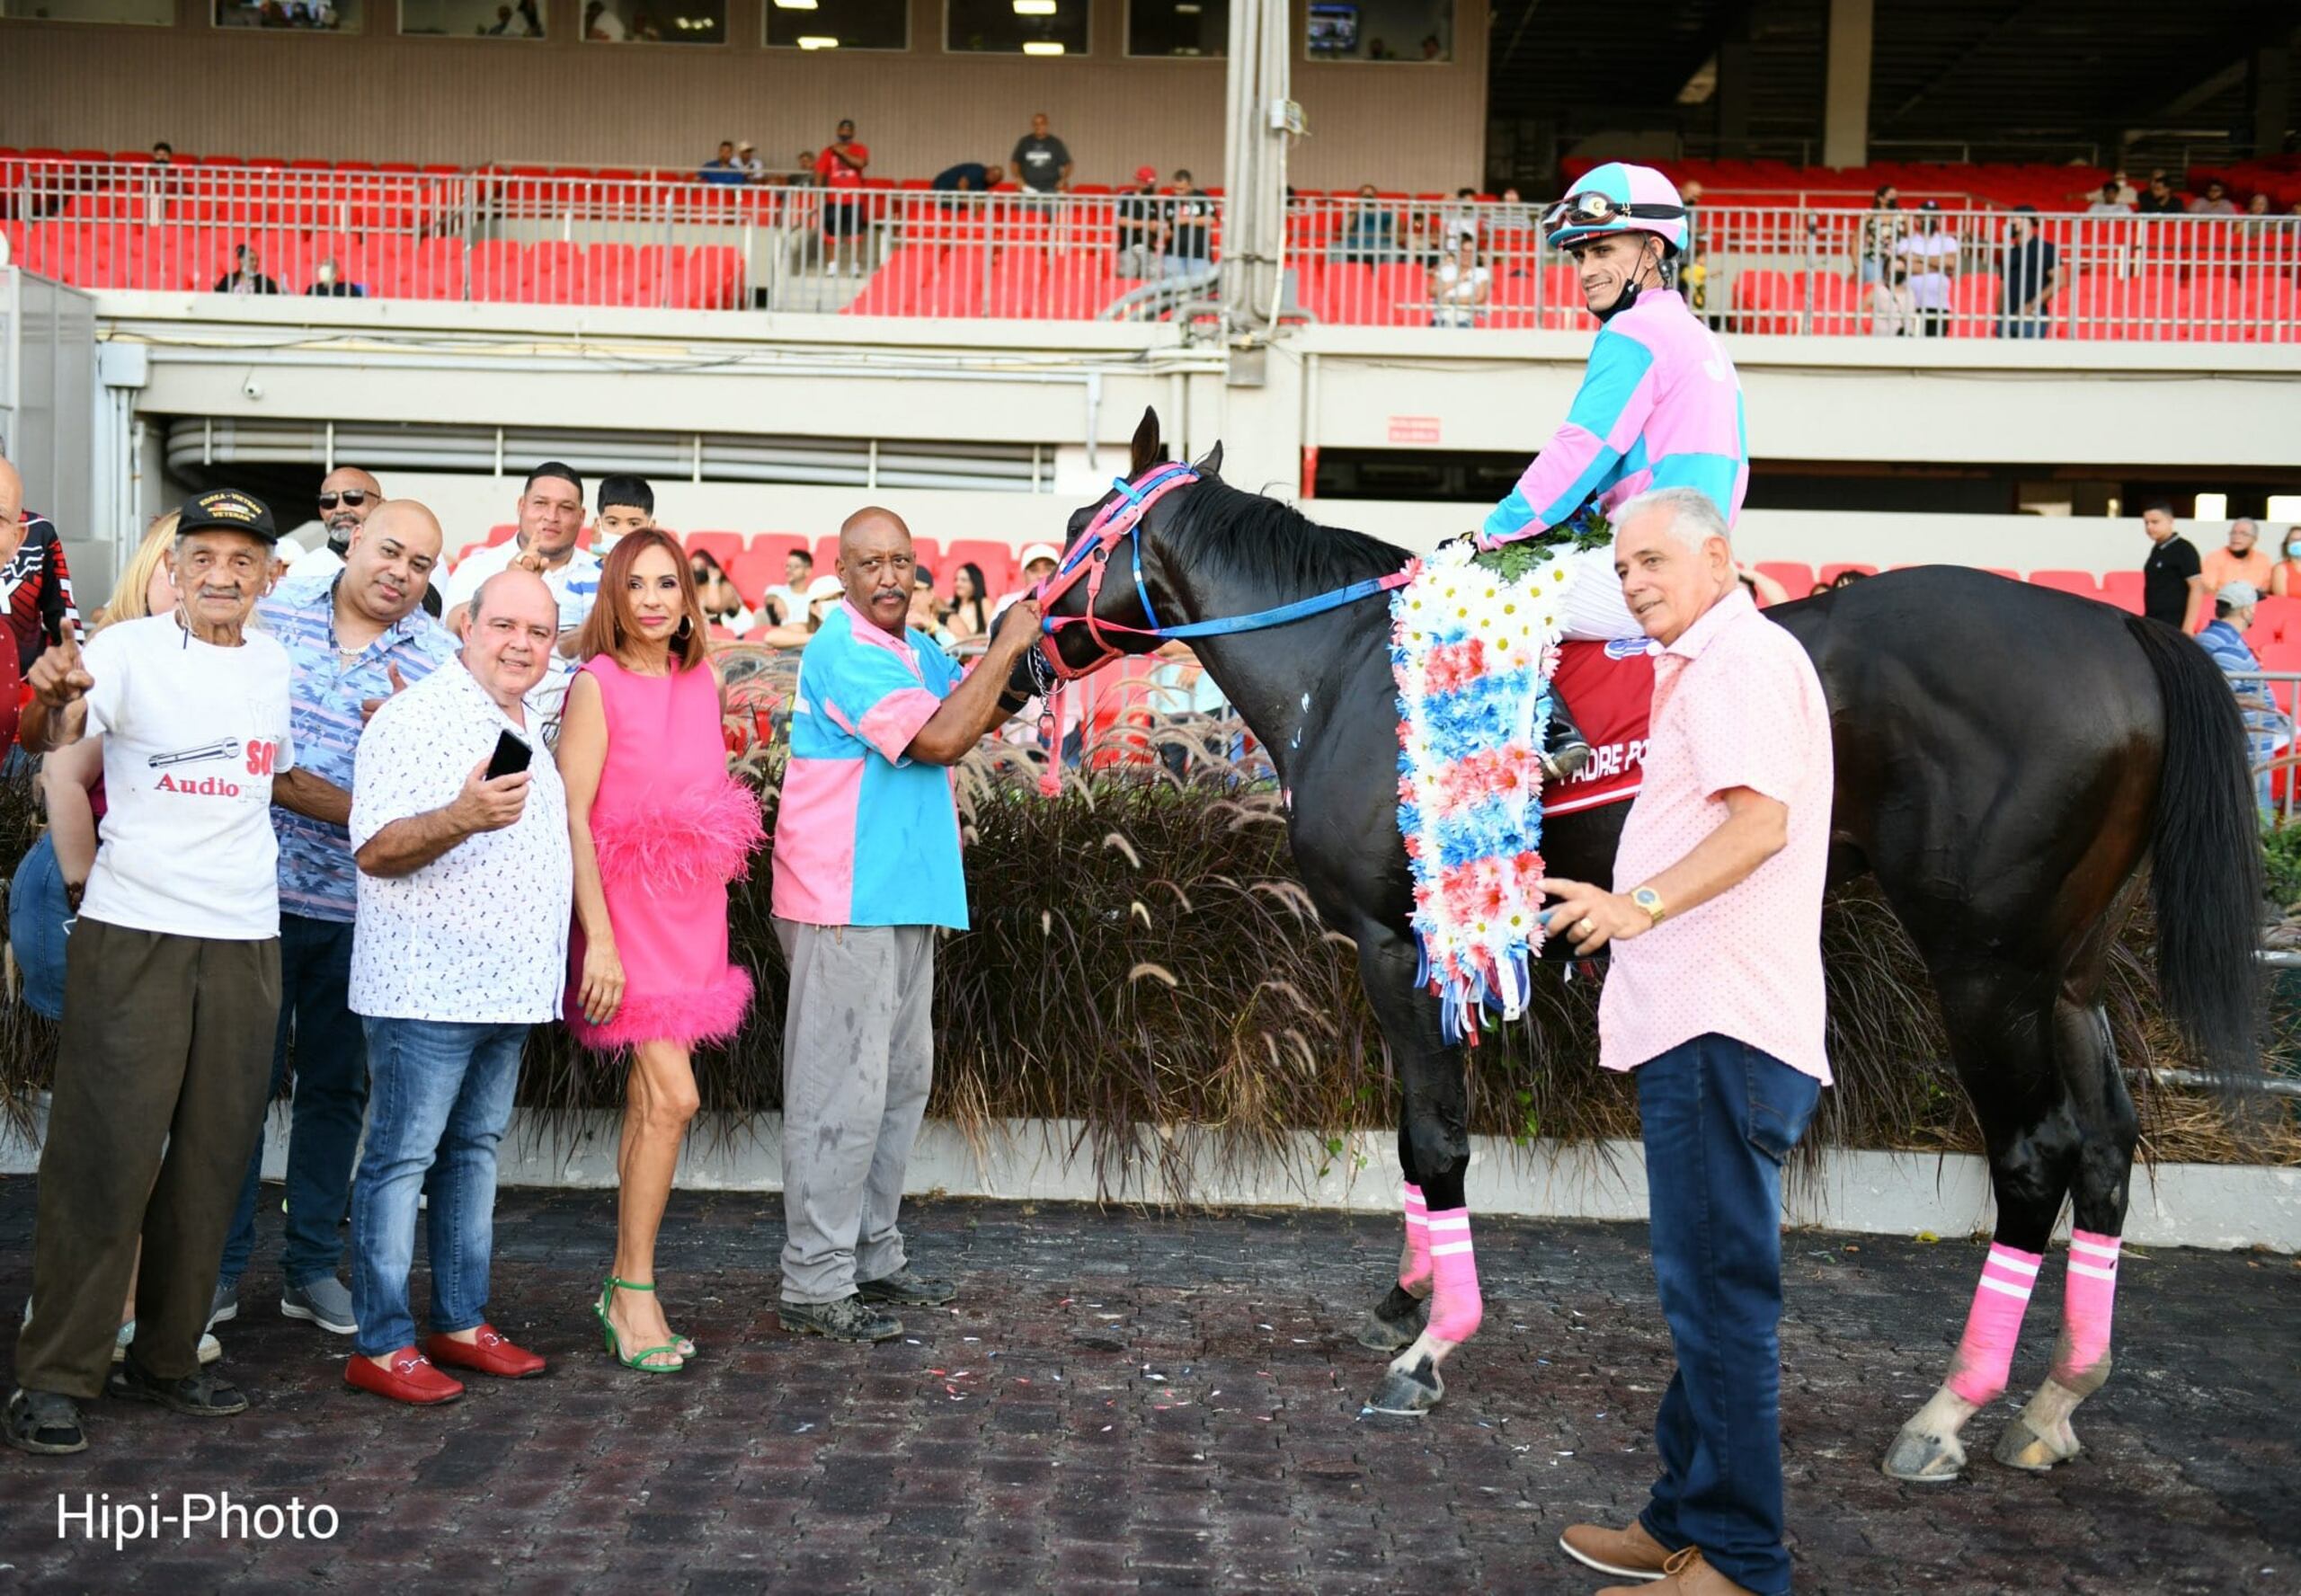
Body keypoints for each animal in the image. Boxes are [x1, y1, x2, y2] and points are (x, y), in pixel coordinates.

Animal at [1030, 409, 2264, 1471]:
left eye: (1078, 522)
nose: (1025, 652)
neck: (1342, 671)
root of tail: (2118, 626)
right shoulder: (1425, 947)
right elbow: (1415, 1136)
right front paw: (1410, 1293)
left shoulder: (1393, 939)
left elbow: (1435, 1136)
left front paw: (1433, 1342)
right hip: (2069, 968)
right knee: (2105, 1144)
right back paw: (2055, 1399)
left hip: (1983, 965)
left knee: (2033, 1155)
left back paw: (1949, 1410)